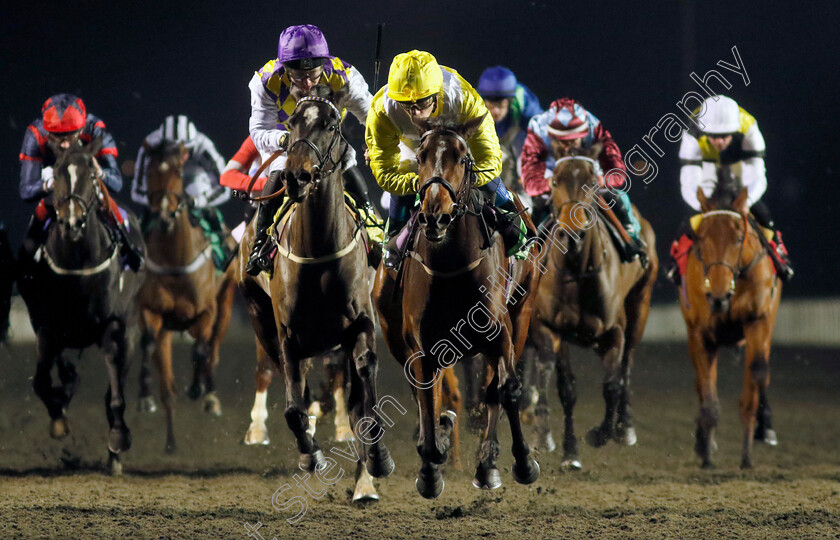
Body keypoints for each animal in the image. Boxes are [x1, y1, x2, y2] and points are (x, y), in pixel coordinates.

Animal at [136, 138, 236, 452]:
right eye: (149, 172)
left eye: (179, 172)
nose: (164, 215)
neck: (175, 260)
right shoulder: (151, 310)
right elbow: (147, 344)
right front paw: (145, 398)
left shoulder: (206, 310)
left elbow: (202, 350)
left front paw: (199, 389)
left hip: (225, 303)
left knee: (212, 349)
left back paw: (208, 393)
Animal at [260, 87, 394, 502]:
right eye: (291, 123)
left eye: (332, 124)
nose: (297, 175)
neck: (318, 251)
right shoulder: (287, 335)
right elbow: (293, 408)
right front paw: (311, 455)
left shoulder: (361, 324)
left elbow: (364, 394)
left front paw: (378, 458)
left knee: (353, 401)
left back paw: (365, 480)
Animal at [370, 114, 540, 498]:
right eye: (420, 157)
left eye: (463, 158)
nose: (435, 216)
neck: (451, 267)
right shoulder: (420, 345)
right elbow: (427, 401)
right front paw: (431, 464)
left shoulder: (500, 333)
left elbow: (506, 390)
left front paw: (523, 462)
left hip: (522, 315)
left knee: (492, 391)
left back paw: (487, 465)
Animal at [524, 143, 656, 468]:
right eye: (554, 181)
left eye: (592, 182)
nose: (572, 232)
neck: (578, 271)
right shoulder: (552, 330)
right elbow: (566, 389)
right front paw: (568, 450)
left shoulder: (615, 330)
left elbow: (612, 385)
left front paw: (600, 434)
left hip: (640, 305)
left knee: (627, 363)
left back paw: (626, 427)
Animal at [676, 177, 780, 468]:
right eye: (701, 237)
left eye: (738, 238)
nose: (718, 296)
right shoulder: (701, 334)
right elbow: (708, 396)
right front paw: (707, 456)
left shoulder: (757, 320)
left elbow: (757, 375)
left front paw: (746, 455)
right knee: (700, 383)